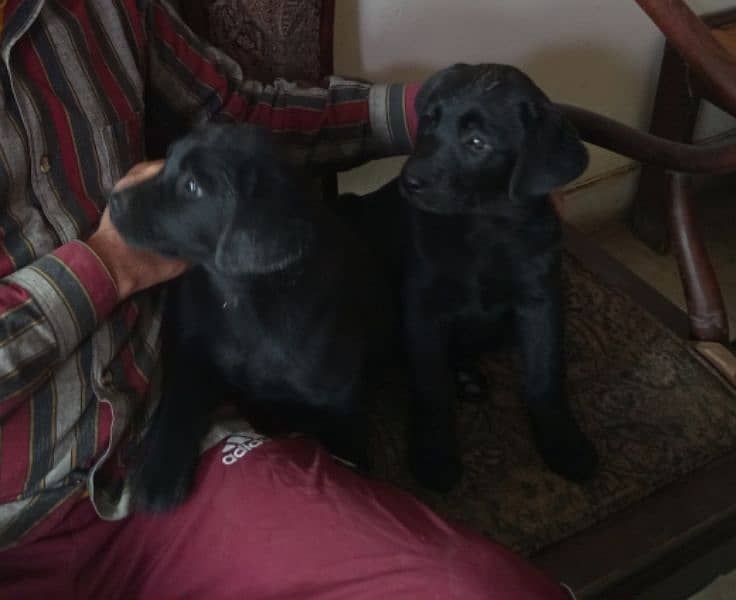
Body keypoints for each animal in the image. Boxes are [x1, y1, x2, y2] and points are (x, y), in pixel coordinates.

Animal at [109, 123, 392, 510]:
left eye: (192, 186)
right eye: (167, 161)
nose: (113, 199)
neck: (243, 302)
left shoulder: (341, 399)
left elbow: (346, 446)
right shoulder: (194, 353)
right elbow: (178, 403)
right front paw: (158, 473)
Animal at [342, 63, 600, 492]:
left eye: (477, 143)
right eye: (429, 122)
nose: (409, 181)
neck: (483, 228)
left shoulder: (542, 300)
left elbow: (546, 374)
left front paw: (564, 442)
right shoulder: (423, 307)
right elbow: (430, 385)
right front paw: (433, 453)